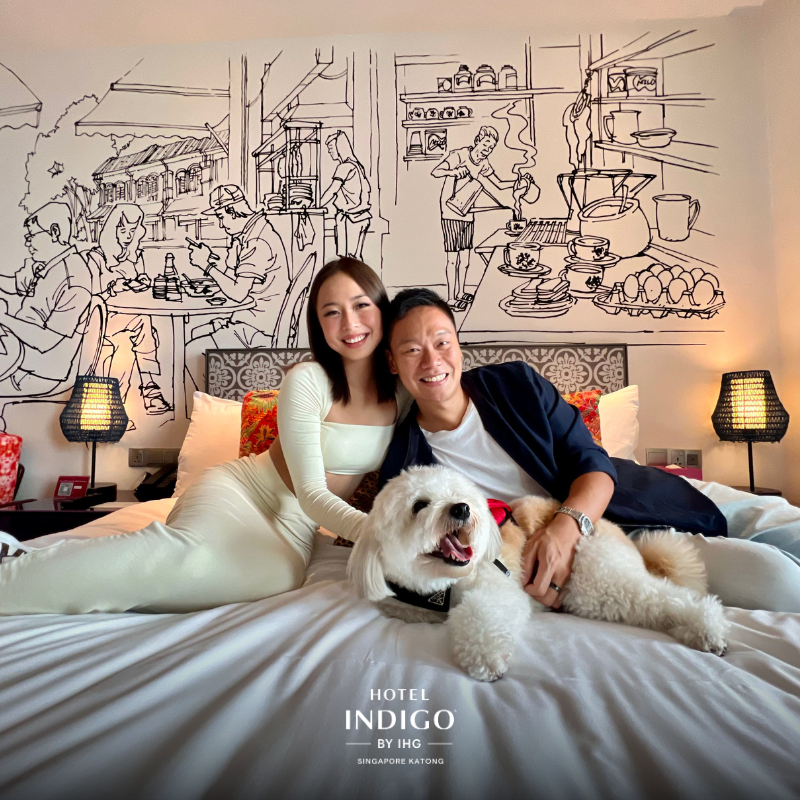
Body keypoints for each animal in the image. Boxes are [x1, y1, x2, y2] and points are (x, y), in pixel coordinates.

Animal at [347, 465, 729, 682]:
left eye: (459, 495)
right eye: (419, 505)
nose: (462, 509)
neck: (440, 588)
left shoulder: (496, 587)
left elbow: (482, 615)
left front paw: (487, 658)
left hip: (597, 575)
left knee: (668, 597)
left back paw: (708, 628)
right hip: (595, 596)